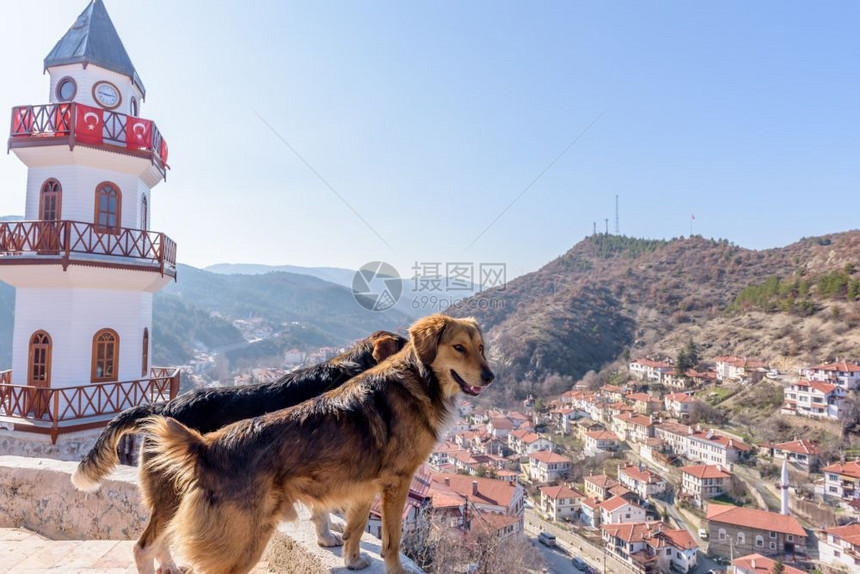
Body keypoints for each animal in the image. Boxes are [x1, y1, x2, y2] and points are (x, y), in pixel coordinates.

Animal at [70, 330, 406, 574]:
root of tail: (161, 408)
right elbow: (321, 510)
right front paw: (326, 537)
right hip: (173, 492)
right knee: (144, 546)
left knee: (161, 537)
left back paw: (170, 565)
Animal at [144, 316, 494, 574]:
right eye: (459, 348)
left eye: (481, 347)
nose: (490, 376)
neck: (420, 379)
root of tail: (205, 447)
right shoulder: (398, 482)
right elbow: (392, 540)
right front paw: (394, 569)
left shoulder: (366, 483)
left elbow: (356, 527)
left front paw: (352, 559)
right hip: (239, 544)